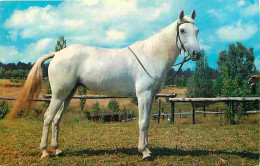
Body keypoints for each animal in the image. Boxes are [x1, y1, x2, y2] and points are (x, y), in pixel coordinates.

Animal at [9, 10, 201, 160]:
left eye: (197, 30)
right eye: (182, 30)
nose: (197, 54)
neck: (151, 55)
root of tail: (57, 54)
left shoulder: (152, 96)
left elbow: (146, 122)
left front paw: (147, 149)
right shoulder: (143, 95)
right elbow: (142, 122)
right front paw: (144, 152)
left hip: (68, 94)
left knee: (56, 119)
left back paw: (57, 150)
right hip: (58, 94)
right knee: (48, 117)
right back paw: (44, 152)